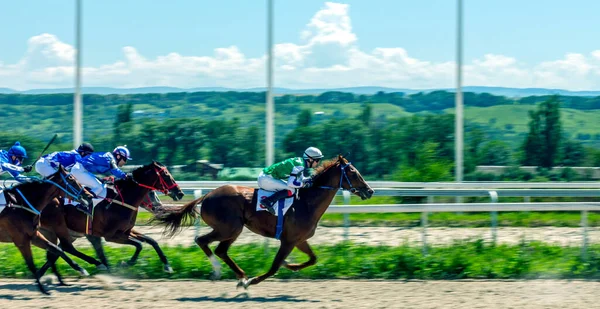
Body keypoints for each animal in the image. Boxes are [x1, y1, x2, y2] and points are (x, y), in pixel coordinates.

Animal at [0, 166, 94, 294]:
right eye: (71, 179)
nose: (89, 195)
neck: (19, 204)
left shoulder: (34, 235)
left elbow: (56, 249)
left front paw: (81, 269)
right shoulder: (21, 240)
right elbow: (31, 264)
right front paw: (42, 289)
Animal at [152, 155, 372, 288]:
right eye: (353, 172)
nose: (370, 191)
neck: (307, 203)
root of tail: (206, 196)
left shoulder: (299, 240)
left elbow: (313, 259)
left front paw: (291, 266)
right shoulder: (288, 240)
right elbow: (275, 266)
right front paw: (256, 280)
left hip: (232, 230)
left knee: (220, 249)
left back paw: (240, 276)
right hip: (230, 228)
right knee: (203, 241)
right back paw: (222, 272)